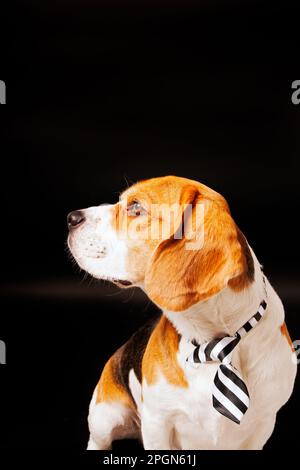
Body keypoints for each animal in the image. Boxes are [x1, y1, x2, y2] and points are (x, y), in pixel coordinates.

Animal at [67, 175, 296, 448]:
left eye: (136, 208)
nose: (71, 217)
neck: (216, 343)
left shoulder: (263, 425)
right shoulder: (157, 423)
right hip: (104, 417)